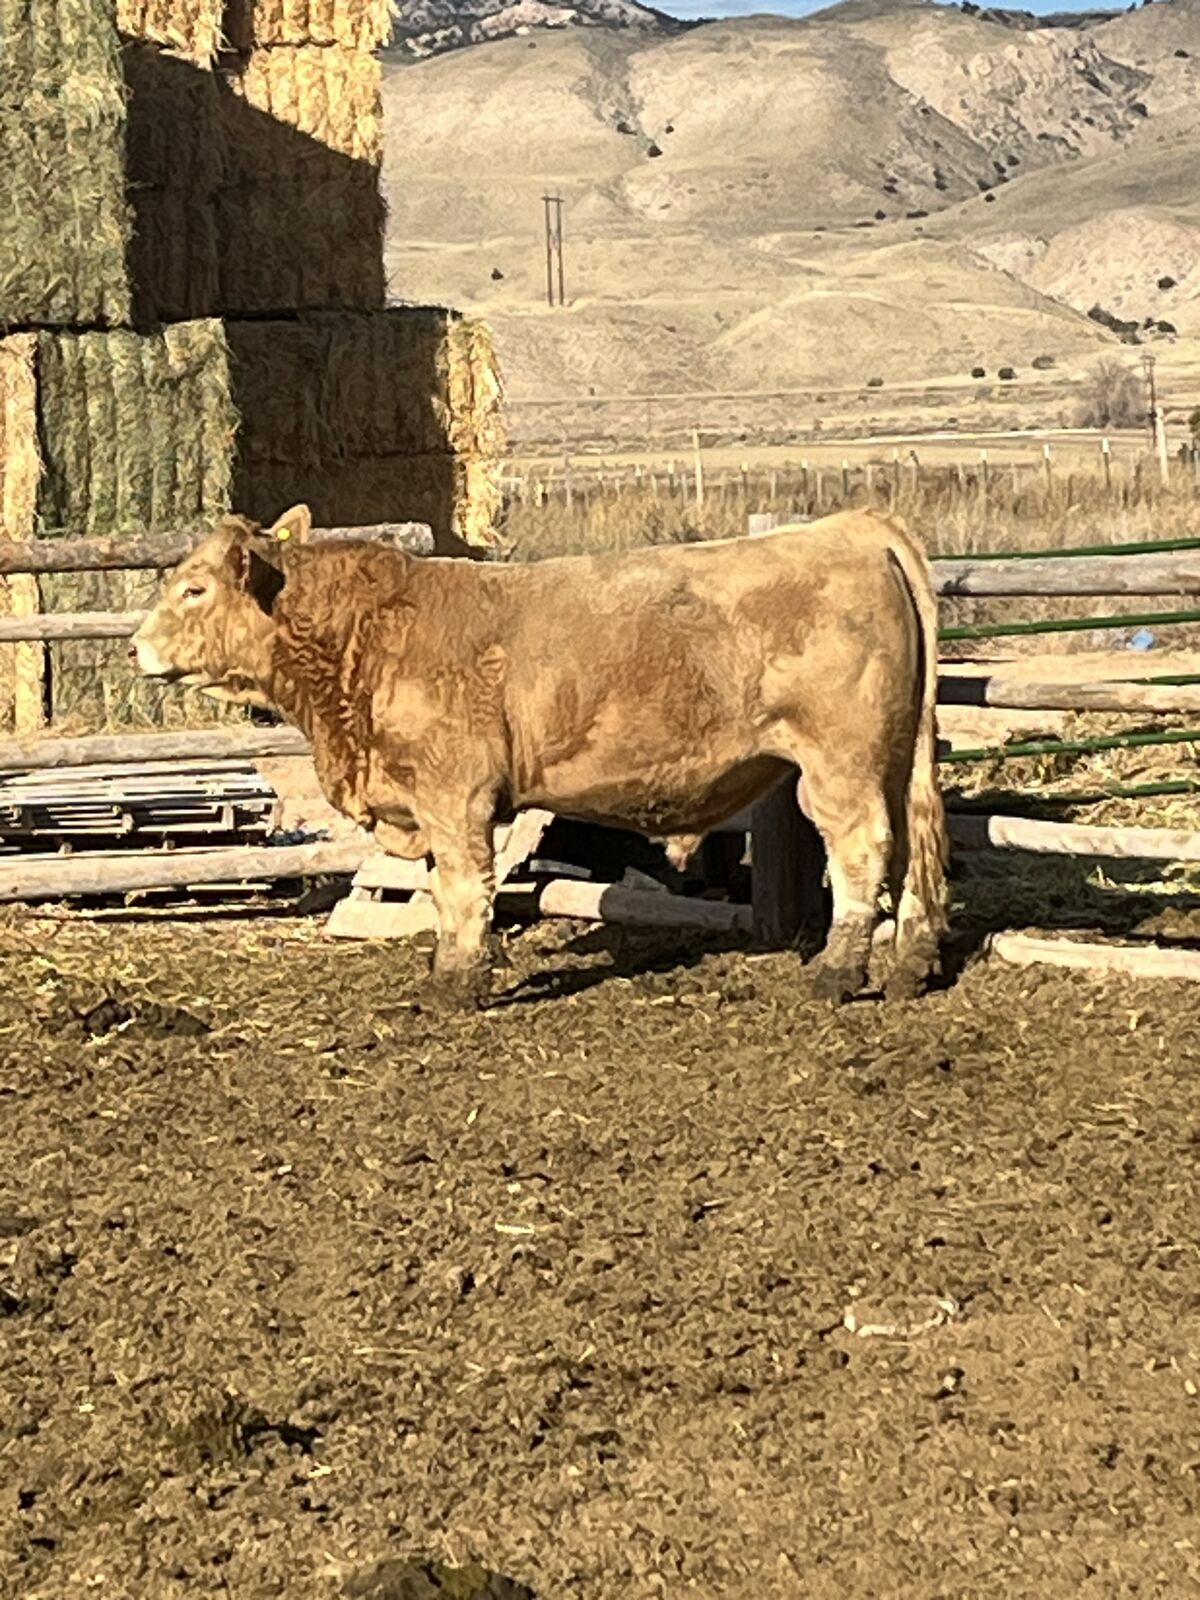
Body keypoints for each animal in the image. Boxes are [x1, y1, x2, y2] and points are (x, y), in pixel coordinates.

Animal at [130, 503, 947, 1007]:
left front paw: (454, 984)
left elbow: (462, 889)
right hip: (894, 758)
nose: (136, 646)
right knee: (912, 855)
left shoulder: (454, 796)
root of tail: (856, 526)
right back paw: (910, 964)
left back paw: (836, 973)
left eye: (194, 588)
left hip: (838, 765)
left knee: (862, 851)